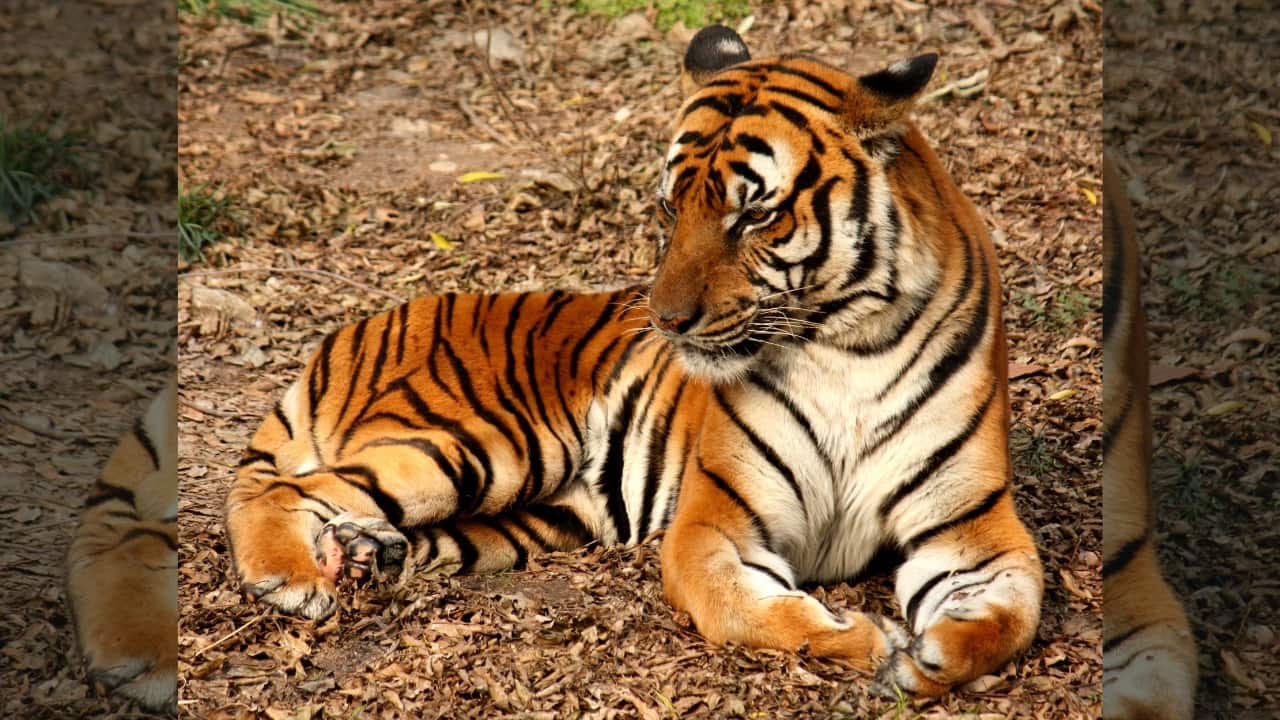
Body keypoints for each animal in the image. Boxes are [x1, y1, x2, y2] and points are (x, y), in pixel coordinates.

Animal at [224, 25, 1044, 696]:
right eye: (670, 208)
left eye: (754, 213)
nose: (667, 321)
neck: (845, 345)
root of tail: (355, 329)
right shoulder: (716, 520)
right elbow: (744, 608)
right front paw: (865, 641)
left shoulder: (971, 528)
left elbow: (1013, 613)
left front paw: (932, 655)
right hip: (482, 443)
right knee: (285, 490)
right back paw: (290, 580)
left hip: (541, 514)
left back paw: (365, 555)